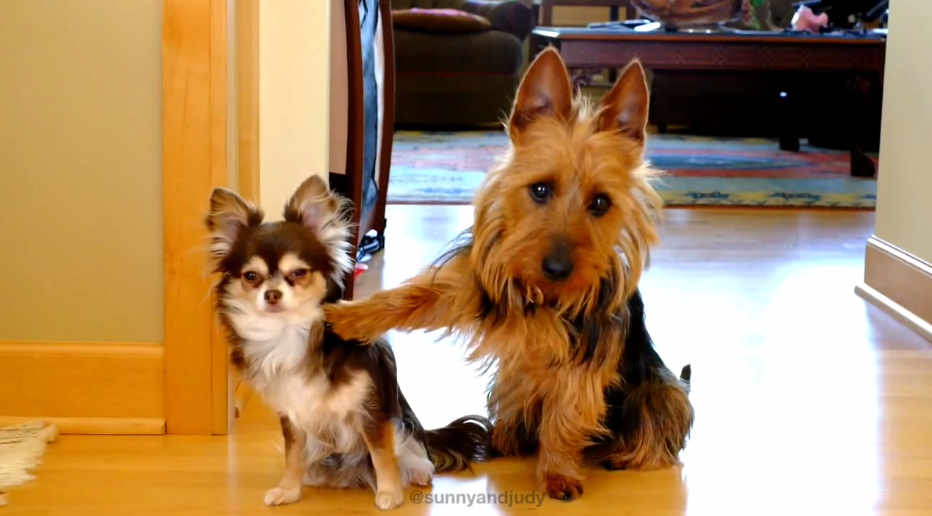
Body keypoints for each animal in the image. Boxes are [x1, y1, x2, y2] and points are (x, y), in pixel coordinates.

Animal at [205, 175, 496, 510]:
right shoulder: (293, 413)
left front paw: (389, 494)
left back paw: (418, 472)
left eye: (298, 273)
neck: (292, 334)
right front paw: (289, 490)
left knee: (416, 452)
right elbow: (294, 455)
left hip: (406, 425)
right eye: (251, 276)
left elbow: (382, 455)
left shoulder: (371, 411)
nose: (272, 294)